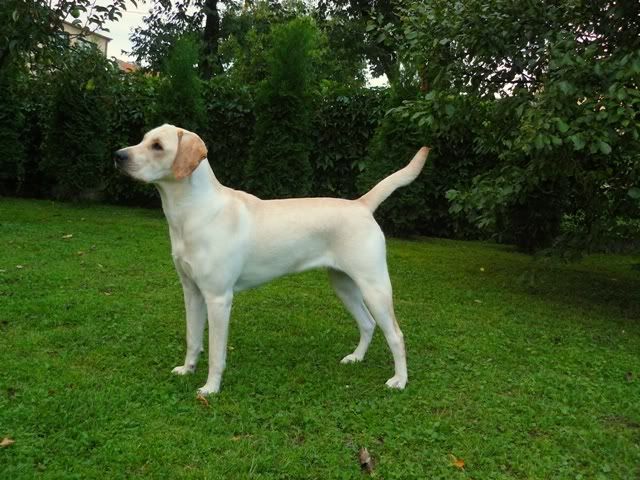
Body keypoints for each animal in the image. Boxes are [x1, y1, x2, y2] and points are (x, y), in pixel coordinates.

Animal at [115, 124, 429, 395]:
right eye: (143, 139)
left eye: (157, 146)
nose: (118, 156)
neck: (194, 211)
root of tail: (361, 204)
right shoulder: (191, 292)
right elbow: (193, 339)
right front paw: (187, 369)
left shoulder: (218, 298)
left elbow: (216, 352)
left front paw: (210, 388)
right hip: (344, 286)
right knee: (367, 323)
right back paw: (356, 358)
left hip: (374, 287)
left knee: (396, 335)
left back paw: (399, 380)